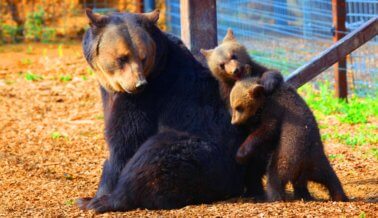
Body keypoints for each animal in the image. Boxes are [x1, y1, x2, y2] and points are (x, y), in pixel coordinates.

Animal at [77, 9, 248, 212]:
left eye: (143, 57)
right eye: (122, 58)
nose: (139, 84)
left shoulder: (149, 97)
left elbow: (125, 141)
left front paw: (99, 194)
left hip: (208, 156)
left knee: (154, 154)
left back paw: (104, 201)